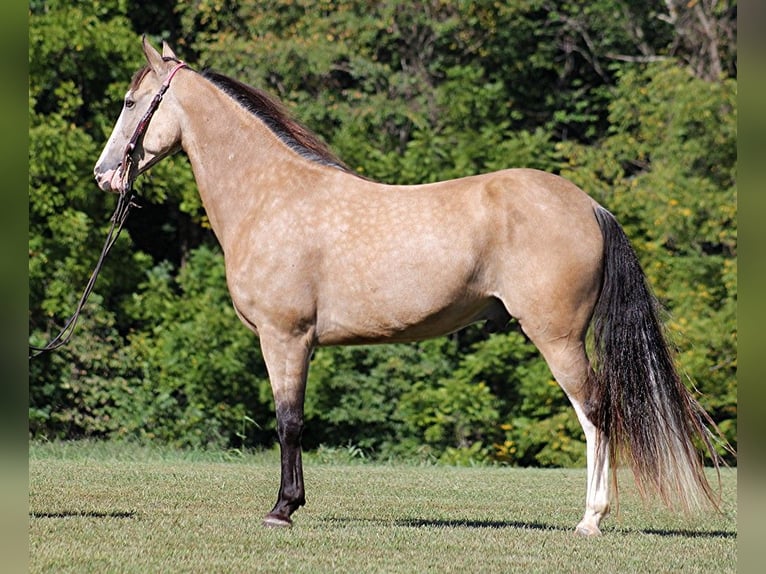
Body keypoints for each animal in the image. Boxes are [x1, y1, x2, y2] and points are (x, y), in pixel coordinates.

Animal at [93, 38, 724, 536]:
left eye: (129, 102)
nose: (104, 174)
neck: (272, 194)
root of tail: (590, 205)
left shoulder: (285, 338)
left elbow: (288, 422)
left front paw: (282, 509)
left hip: (559, 339)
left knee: (595, 412)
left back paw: (591, 519)